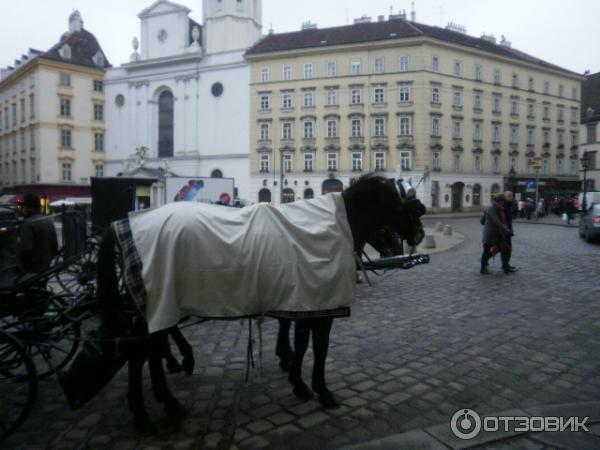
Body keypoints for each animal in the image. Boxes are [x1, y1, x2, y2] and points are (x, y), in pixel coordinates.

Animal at [92, 172, 422, 428]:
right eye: (408, 207)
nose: (416, 237)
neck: (331, 226)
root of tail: (123, 223)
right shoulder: (321, 304)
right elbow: (319, 348)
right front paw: (321, 390)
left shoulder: (306, 300)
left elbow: (302, 342)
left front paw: (298, 381)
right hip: (155, 303)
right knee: (140, 352)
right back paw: (150, 409)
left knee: (147, 350)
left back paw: (163, 402)